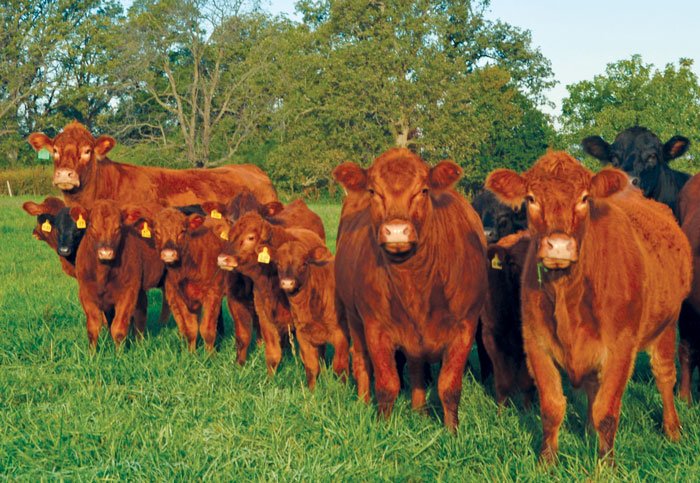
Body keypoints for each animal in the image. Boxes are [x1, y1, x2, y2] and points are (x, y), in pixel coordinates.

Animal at [73, 199, 166, 348]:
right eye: (92, 226)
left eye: (118, 228)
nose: (105, 252)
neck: (103, 274)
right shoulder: (86, 293)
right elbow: (93, 327)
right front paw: (92, 352)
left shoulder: (128, 292)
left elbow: (118, 328)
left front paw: (119, 352)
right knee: (141, 310)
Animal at [276, 237, 350, 389]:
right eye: (278, 264)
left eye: (304, 263)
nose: (287, 283)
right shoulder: (303, 335)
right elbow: (312, 366)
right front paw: (312, 391)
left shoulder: (341, 334)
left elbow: (339, 366)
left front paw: (343, 390)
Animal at [333, 147, 488, 430]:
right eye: (373, 191)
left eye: (423, 190)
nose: (396, 231)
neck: (415, 285)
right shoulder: (375, 327)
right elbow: (387, 384)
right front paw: (382, 428)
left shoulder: (465, 327)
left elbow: (449, 387)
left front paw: (452, 432)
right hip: (353, 316)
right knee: (360, 360)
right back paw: (362, 402)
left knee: (416, 367)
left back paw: (420, 411)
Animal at [482, 231, 534, 404]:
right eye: (512, 264)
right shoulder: (491, 335)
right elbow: (503, 381)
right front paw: (501, 409)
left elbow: (526, 382)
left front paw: (527, 408)